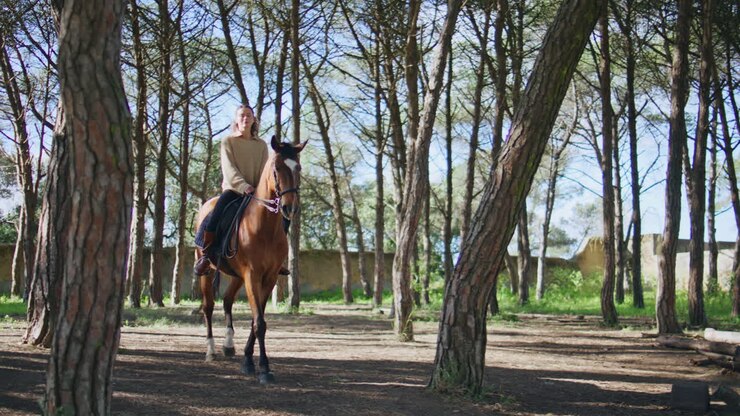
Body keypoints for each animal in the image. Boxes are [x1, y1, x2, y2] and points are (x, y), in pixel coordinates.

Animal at [194, 136, 306, 384]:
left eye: (299, 168)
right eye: (277, 168)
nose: (289, 207)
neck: (264, 227)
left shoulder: (269, 277)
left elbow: (257, 320)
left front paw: (248, 360)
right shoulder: (252, 276)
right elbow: (260, 323)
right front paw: (263, 368)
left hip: (237, 276)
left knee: (227, 301)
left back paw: (228, 345)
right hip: (207, 271)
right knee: (208, 307)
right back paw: (211, 350)